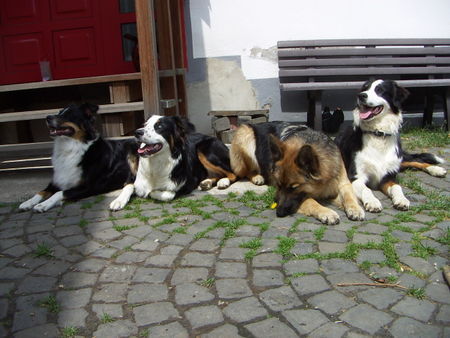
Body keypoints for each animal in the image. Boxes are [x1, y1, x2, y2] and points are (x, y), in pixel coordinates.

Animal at [109, 115, 237, 210]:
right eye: (145, 125)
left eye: (159, 126)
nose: (137, 132)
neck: (155, 163)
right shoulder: (133, 177)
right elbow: (128, 186)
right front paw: (118, 201)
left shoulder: (187, 183)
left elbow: (165, 194)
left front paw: (150, 192)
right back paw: (207, 182)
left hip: (205, 149)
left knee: (233, 173)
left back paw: (223, 182)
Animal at [230, 122, 364, 224]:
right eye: (278, 186)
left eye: (294, 187)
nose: (279, 212)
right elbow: (310, 201)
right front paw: (326, 212)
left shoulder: (343, 183)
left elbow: (349, 195)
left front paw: (355, 209)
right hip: (245, 137)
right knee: (244, 172)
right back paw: (257, 177)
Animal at [336, 79, 444, 211]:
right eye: (365, 88)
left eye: (380, 90)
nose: (361, 95)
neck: (378, 134)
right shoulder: (356, 176)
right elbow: (366, 190)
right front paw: (372, 202)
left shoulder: (388, 177)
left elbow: (397, 187)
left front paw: (402, 200)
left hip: (398, 158)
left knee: (416, 160)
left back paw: (436, 169)